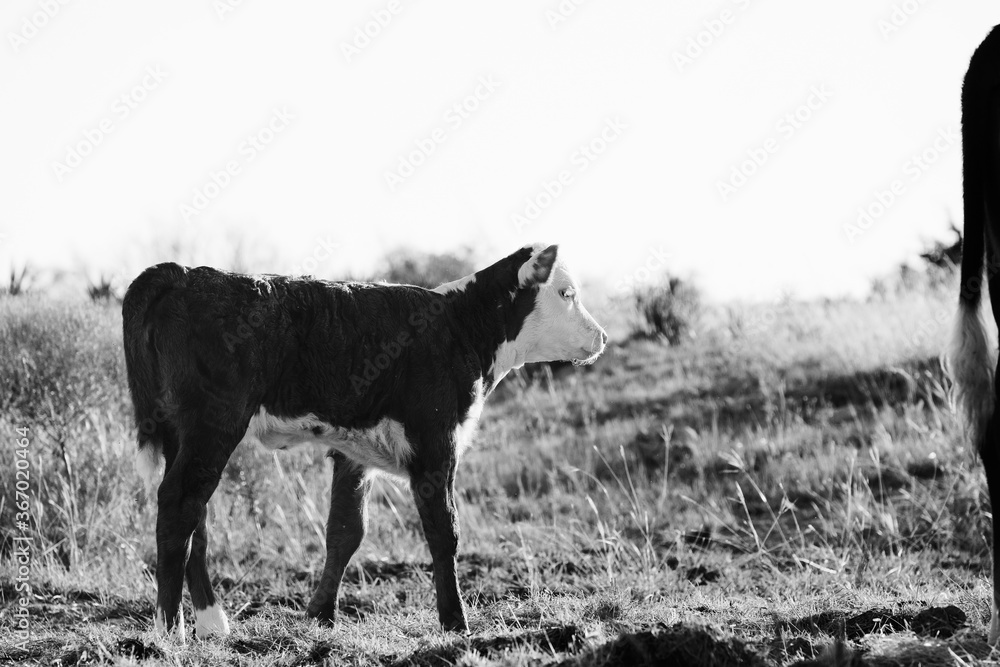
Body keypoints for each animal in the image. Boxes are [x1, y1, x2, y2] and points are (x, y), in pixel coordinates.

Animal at [122, 242, 607, 641]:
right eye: (566, 293)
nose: (602, 337)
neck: (457, 326)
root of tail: (183, 273)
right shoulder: (435, 444)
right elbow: (443, 530)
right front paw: (455, 621)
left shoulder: (354, 452)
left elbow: (345, 530)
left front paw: (320, 614)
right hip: (214, 425)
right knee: (179, 504)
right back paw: (170, 629)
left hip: (182, 434)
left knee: (195, 517)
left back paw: (211, 622)